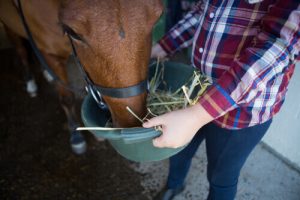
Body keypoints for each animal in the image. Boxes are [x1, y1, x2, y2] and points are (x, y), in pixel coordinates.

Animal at [0, 0, 163, 153]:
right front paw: (75, 134)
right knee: (20, 49)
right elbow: (67, 97)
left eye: (157, 18)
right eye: (72, 32)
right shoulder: (51, 55)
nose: (131, 123)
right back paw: (30, 82)